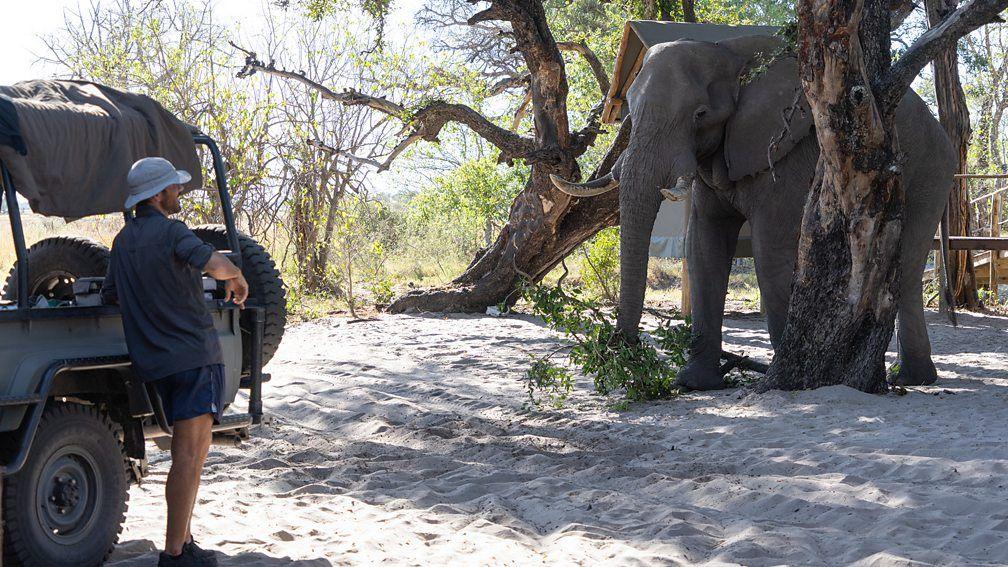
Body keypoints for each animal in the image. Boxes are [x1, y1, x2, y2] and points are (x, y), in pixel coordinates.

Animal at [552, 34, 951, 387]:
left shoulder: (787, 148)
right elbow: (703, 243)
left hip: (931, 170)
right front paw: (695, 383)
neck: (729, 54)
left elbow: (769, 244)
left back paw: (911, 378)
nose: (624, 346)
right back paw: (904, 377)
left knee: (907, 268)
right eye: (629, 113)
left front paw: (783, 379)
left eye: (700, 114)